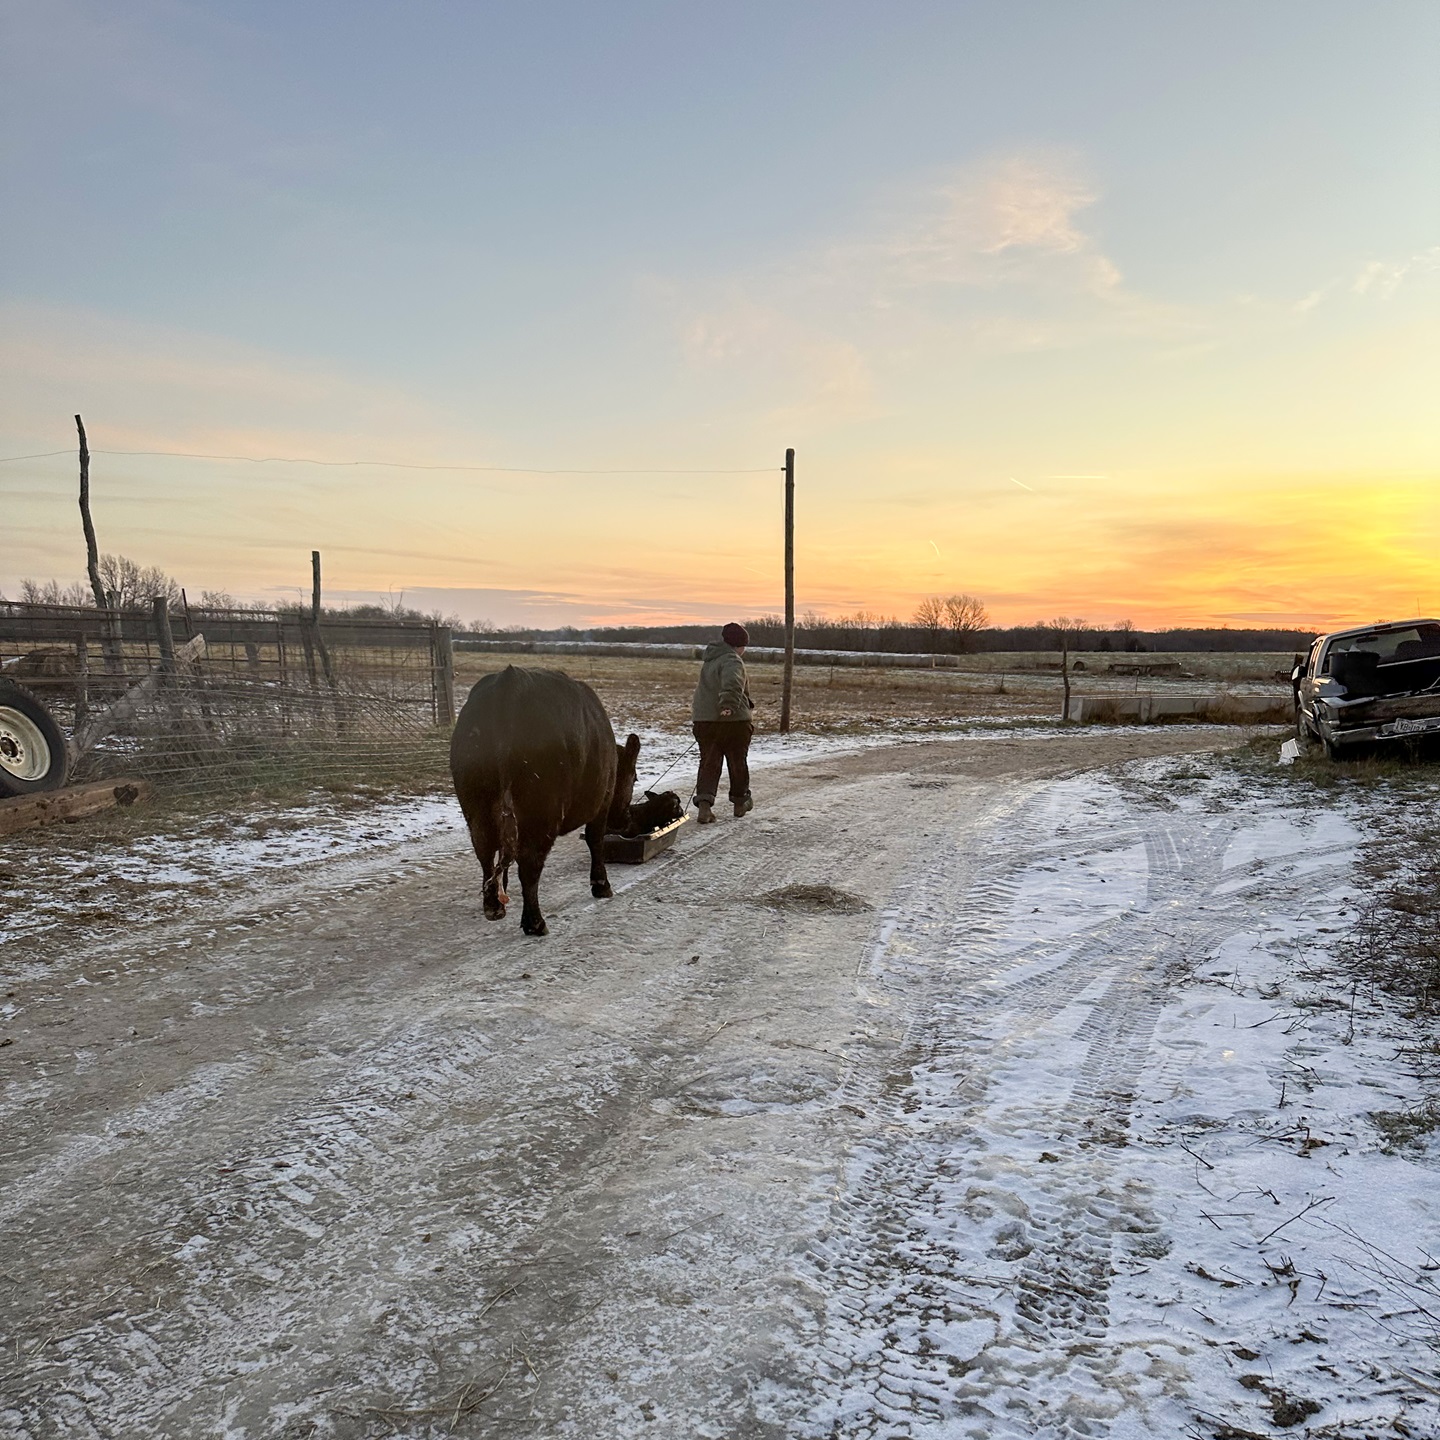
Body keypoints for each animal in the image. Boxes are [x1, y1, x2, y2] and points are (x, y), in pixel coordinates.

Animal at [450, 666, 640, 936]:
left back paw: (494, 906)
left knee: (485, 851)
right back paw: (535, 922)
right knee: (529, 864)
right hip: (542, 811)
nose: (627, 820)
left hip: (477, 807)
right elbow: (595, 841)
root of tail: (510, 682)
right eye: (635, 777)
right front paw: (601, 885)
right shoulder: (601, 803)